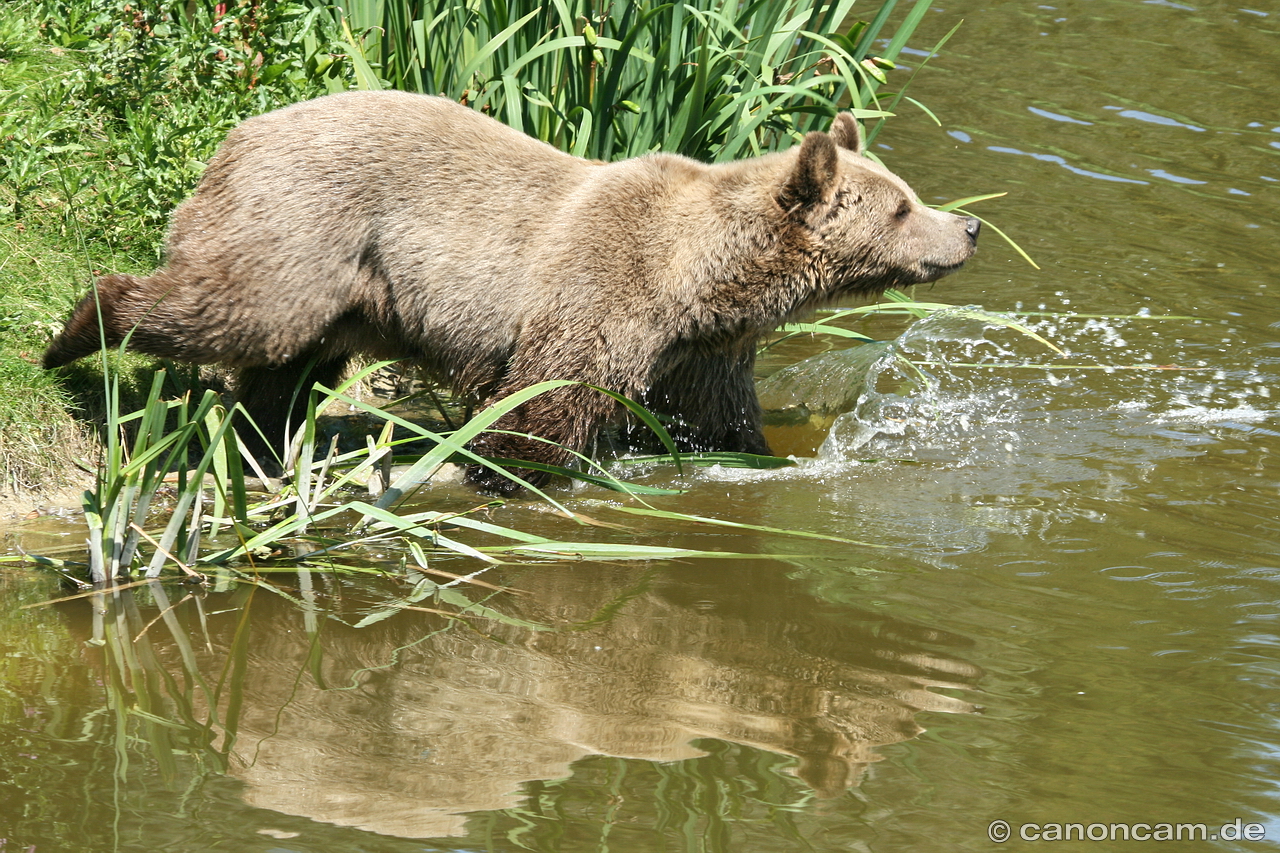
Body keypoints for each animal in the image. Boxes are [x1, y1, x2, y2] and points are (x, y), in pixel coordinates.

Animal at [40, 89, 977, 491]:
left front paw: (764, 455)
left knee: (288, 365)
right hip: (306, 227)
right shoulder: (603, 293)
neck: (699, 282)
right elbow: (543, 405)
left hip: (349, 289)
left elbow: (722, 423)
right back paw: (78, 333)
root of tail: (241, 130)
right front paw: (505, 466)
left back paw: (264, 439)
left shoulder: (700, 353)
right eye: (901, 206)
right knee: (232, 311)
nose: (966, 227)